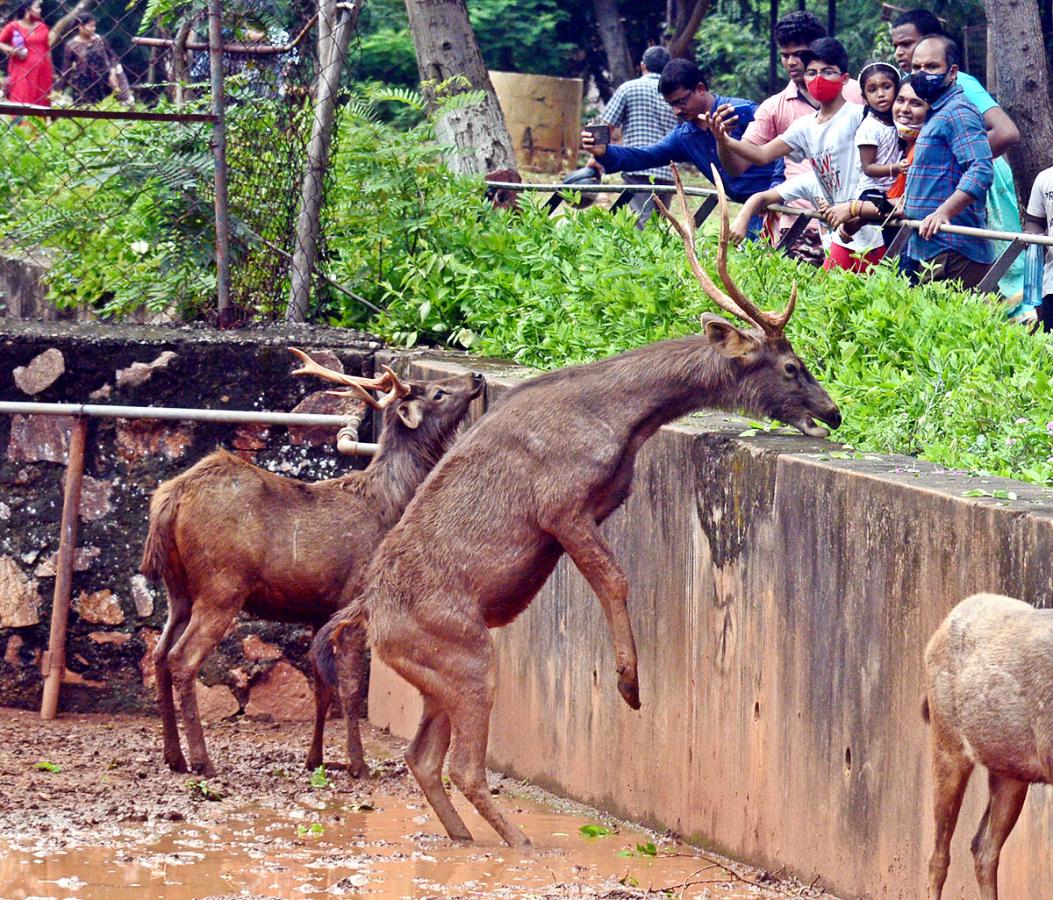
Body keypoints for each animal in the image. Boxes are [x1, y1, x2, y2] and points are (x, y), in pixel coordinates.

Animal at [140, 351, 484, 783]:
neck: (393, 505)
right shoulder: (357, 597)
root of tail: (169, 500)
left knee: (158, 654)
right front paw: (357, 763)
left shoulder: (321, 609)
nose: (477, 376)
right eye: (439, 392)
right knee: (182, 658)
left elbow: (322, 686)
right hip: (221, 584)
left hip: (179, 589)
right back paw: (202, 760)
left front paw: (316, 758)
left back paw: (173, 755)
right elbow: (350, 685)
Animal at [307, 165, 842, 846]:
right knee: (464, 765)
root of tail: (371, 616)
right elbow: (615, 578)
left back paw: (468, 840)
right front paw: (630, 684)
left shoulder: (604, 501)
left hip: (433, 674)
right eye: (792, 365)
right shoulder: (560, 504)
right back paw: (519, 844)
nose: (834, 411)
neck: (624, 420)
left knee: (421, 759)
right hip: (466, 653)